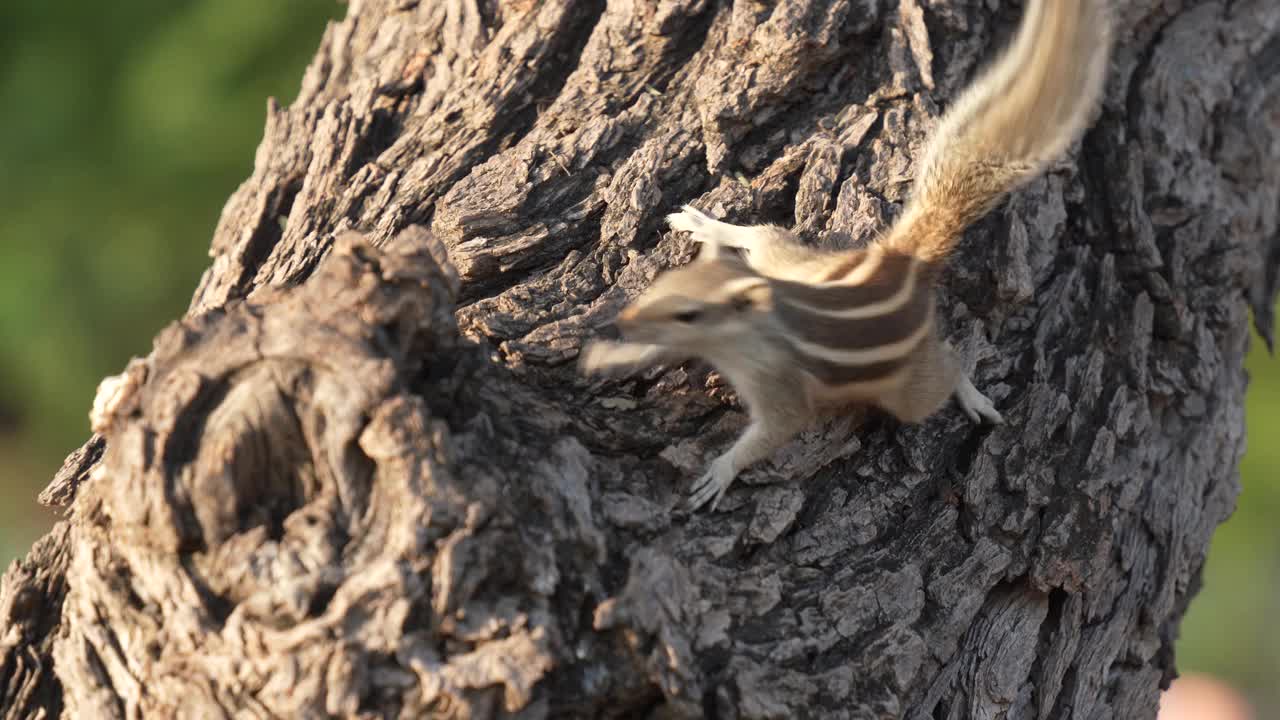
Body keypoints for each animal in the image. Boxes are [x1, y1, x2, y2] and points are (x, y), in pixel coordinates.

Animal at [578, 0, 1111, 509]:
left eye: (690, 313)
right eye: (659, 287)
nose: (623, 321)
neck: (749, 334)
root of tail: (902, 262)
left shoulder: (781, 391)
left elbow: (773, 434)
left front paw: (722, 472)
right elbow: (657, 350)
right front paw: (608, 353)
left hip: (908, 390)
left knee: (948, 363)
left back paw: (970, 392)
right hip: (801, 266)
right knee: (763, 236)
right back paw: (704, 224)